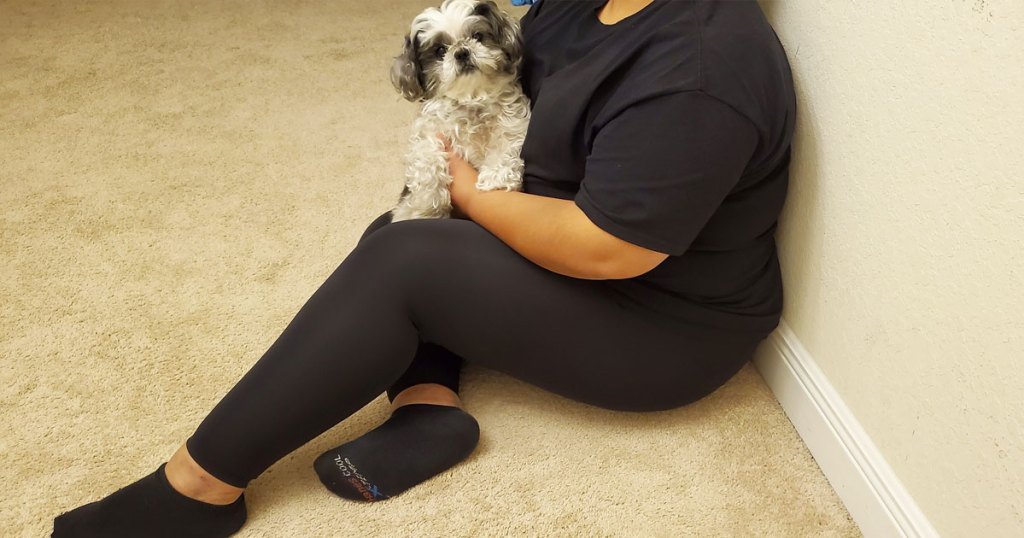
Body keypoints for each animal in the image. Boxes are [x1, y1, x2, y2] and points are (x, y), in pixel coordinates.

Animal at [389, 0, 532, 222]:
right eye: (440, 50)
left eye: (477, 36)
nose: (462, 52)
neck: (471, 99)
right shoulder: (426, 134)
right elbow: (427, 160)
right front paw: (428, 206)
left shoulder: (513, 123)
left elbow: (505, 147)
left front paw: (495, 178)